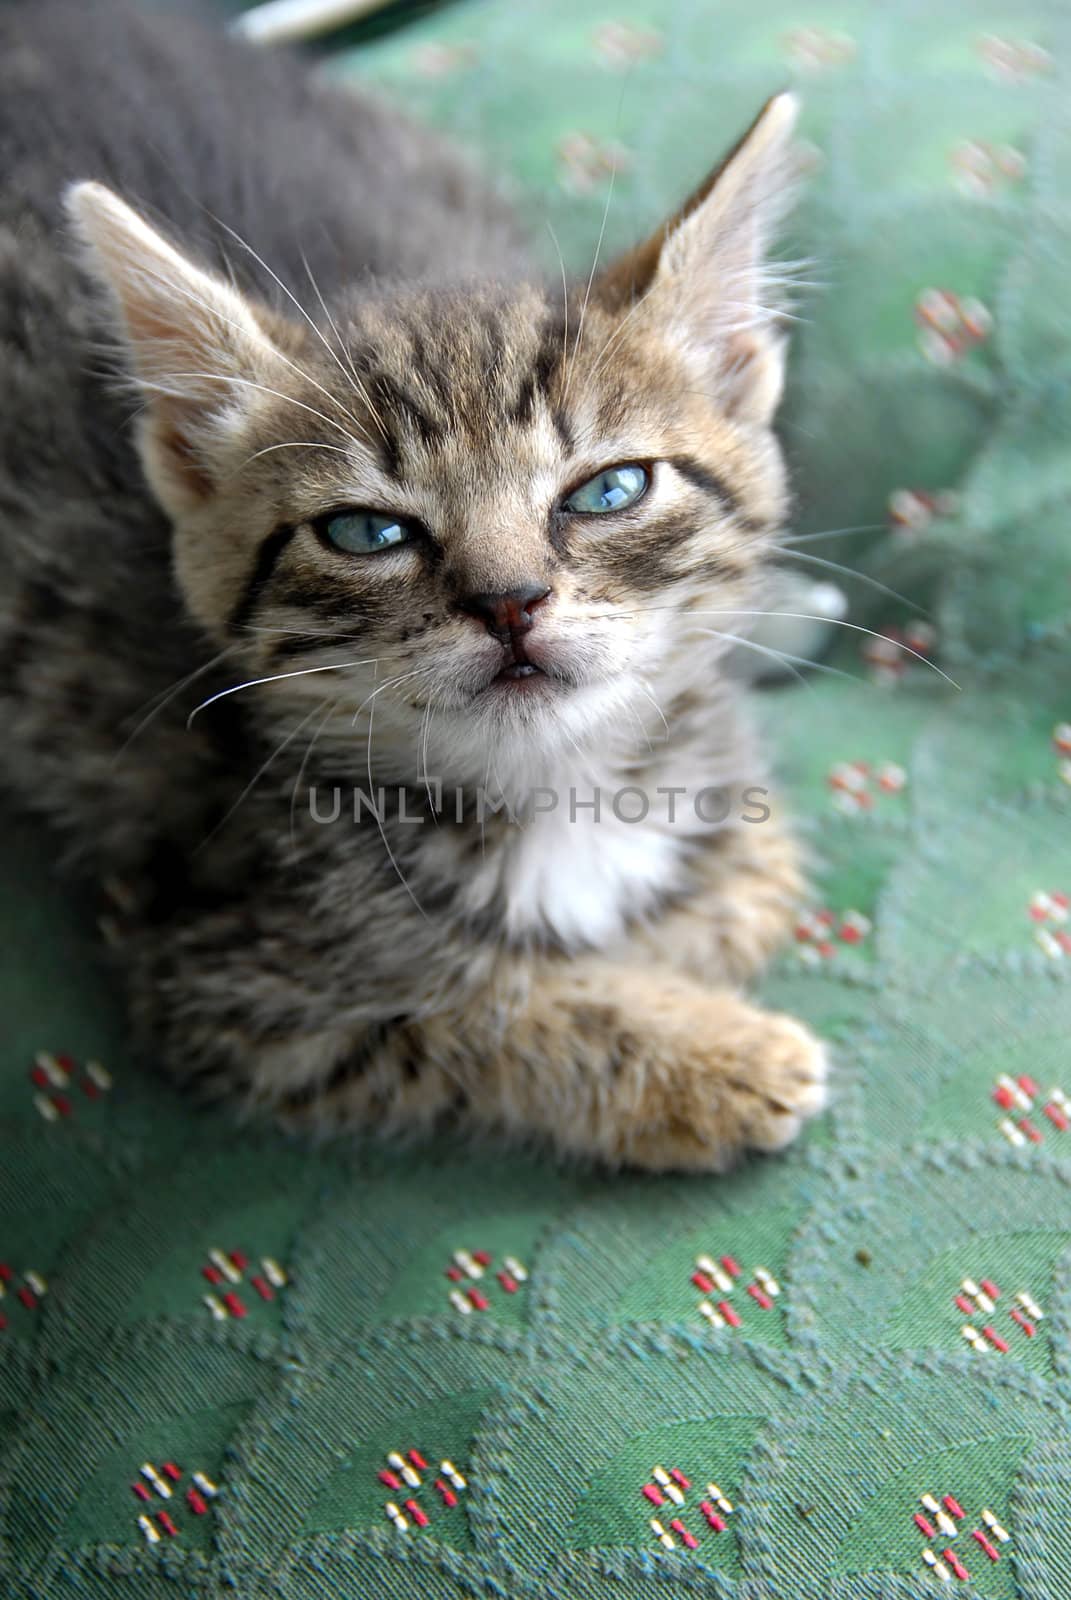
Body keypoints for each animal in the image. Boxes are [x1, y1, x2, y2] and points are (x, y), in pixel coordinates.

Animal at [0, 3, 826, 1177]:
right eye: (367, 531)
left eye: (609, 489)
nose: (510, 600)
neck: (554, 787)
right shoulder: (224, 981)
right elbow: (483, 1002)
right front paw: (712, 1057)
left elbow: (749, 884)